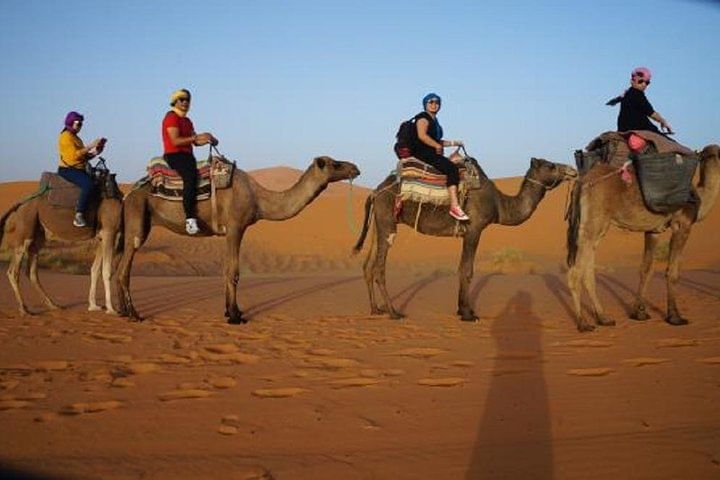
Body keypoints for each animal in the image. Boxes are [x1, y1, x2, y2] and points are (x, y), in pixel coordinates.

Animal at [0, 175, 123, 315]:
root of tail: (20, 202)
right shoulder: (109, 232)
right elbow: (106, 271)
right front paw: (111, 309)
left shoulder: (101, 237)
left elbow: (95, 270)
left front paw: (93, 306)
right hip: (26, 226)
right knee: (13, 271)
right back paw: (23, 309)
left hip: (38, 234)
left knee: (32, 271)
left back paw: (53, 305)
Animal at [116, 156, 360, 323]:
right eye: (335, 164)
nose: (355, 168)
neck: (258, 199)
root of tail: (127, 195)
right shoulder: (236, 227)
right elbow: (233, 272)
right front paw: (235, 316)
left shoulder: (229, 231)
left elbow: (226, 269)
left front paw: (229, 311)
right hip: (137, 219)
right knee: (124, 268)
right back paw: (134, 314)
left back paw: (122, 312)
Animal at [352, 157, 577, 321]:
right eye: (550, 165)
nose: (572, 170)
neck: (499, 204)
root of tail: (375, 192)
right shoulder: (474, 229)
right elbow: (467, 270)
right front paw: (468, 314)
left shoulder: (467, 233)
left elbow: (462, 268)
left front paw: (462, 310)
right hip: (387, 220)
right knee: (379, 268)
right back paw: (393, 312)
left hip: (379, 225)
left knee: (368, 265)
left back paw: (376, 309)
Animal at [566, 144, 720, 332]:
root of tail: (582, 181)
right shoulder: (682, 225)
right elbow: (673, 272)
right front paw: (675, 317)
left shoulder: (653, 231)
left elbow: (646, 269)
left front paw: (639, 313)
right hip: (593, 222)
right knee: (575, 272)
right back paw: (583, 323)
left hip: (596, 227)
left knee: (588, 269)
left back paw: (604, 318)